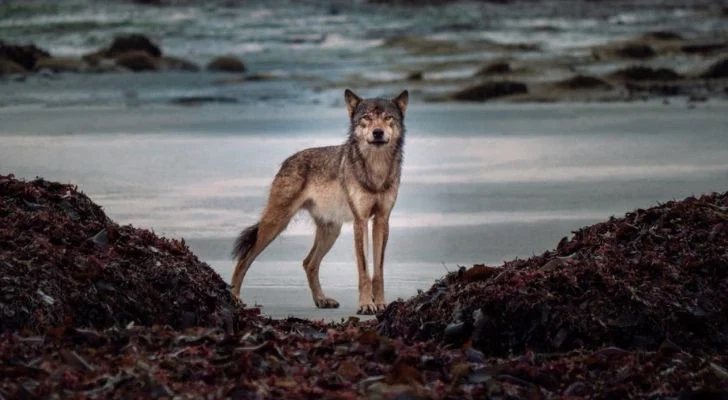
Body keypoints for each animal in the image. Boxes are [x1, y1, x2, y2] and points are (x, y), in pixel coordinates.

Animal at [230, 89, 408, 315]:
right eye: (366, 118)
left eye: (388, 117)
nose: (378, 132)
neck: (376, 169)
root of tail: (287, 160)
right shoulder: (360, 221)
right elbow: (364, 271)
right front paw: (366, 304)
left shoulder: (381, 220)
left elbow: (378, 271)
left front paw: (381, 303)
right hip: (275, 225)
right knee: (244, 259)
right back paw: (234, 298)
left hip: (331, 231)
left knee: (308, 263)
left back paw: (322, 300)